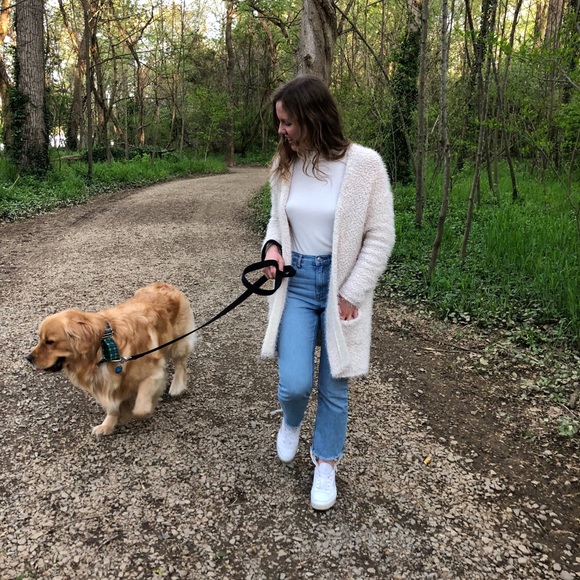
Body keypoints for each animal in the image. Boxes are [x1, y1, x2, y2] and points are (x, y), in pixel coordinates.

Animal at [26, 282, 197, 436]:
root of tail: (165, 284)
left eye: (50, 342)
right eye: (40, 339)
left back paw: (176, 386)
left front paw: (138, 410)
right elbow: (113, 407)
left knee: (181, 364)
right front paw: (108, 425)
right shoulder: (107, 382)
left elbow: (140, 409)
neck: (104, 349)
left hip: (179, 343)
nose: (28, 358)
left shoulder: (153, 374)